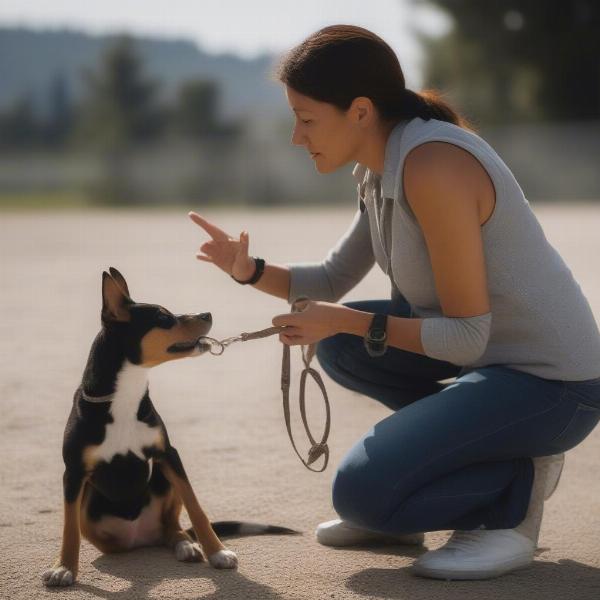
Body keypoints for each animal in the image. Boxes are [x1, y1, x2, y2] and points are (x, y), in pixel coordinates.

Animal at [41, 268, 298, 584]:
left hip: (163, 478)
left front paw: (217, 552)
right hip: (92, 507)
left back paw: (186, 545)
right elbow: (69, 528)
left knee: (172, 526)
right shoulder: (74, 472)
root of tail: (140, 537)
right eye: (163, 318)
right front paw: (63, 567)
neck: (124, 397)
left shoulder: (168, 454)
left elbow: (196, 508)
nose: (206, 312)